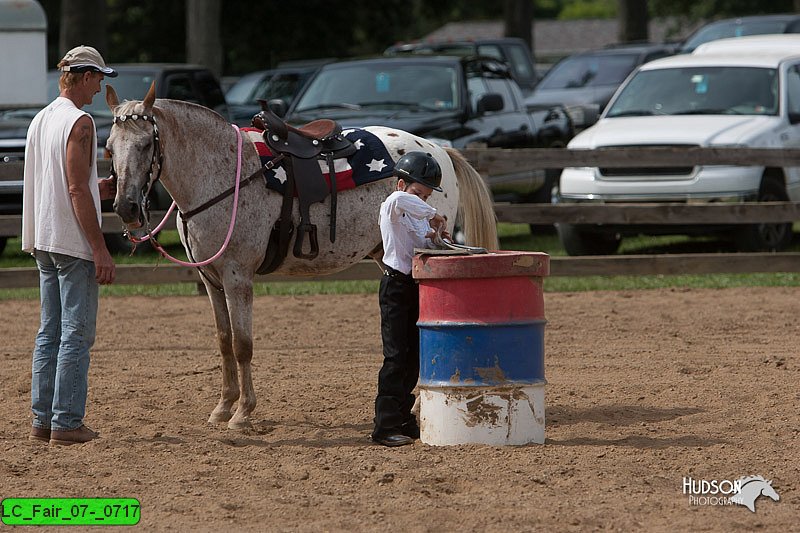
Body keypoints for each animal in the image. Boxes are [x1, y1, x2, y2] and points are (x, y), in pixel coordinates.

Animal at [103, 84, 496, 432]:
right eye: (108, 149)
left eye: (146, 143)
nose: (125, 208)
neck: (222, 173)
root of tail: (437, 149)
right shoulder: (211, 280)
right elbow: (224, 341)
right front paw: (223, 407)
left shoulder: (237, 277)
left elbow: (242, 345)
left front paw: (242, 414)